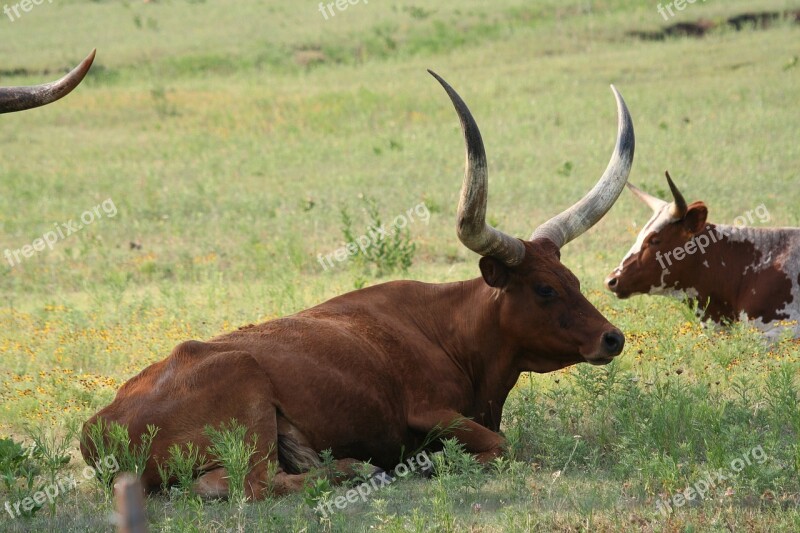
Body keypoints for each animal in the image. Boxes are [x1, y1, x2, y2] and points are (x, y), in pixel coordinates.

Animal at [78, 71, 636, 498]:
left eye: (573, 279)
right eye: (543, 289)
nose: (612, 338)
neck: (451, 331)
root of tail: (95, 428)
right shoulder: (428, 412)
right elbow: (500, 446)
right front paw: (434, 463)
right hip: (245, 388)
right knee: (249, 484)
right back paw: (358, 470)